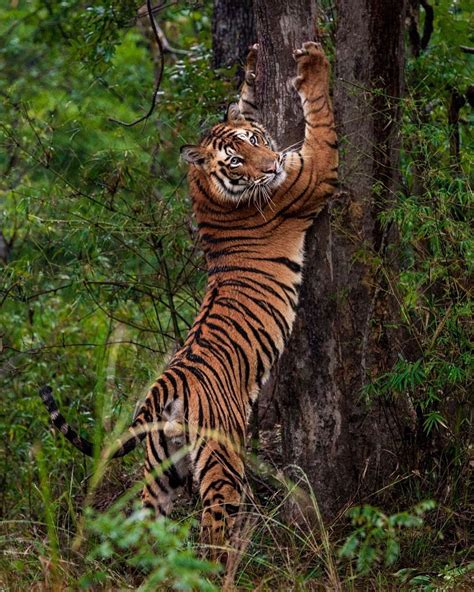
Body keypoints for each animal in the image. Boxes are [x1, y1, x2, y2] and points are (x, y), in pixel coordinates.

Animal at [39, 41, 336, 560]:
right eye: (235, 161)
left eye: (255, 140)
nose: (272, 166)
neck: (206, 189)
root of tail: (163, 389)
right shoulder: (312, 170)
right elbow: (321, 115)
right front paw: (311, 64)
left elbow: (244, 99)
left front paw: (252, 65)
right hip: (222, 460)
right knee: (214, 525)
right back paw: (222, 567)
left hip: (161, 472)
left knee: (146, 528)